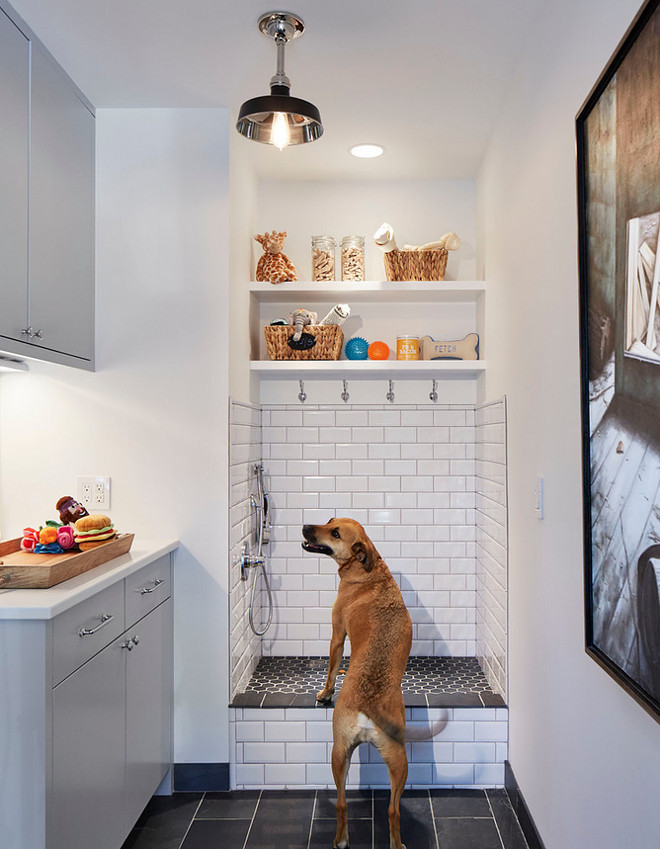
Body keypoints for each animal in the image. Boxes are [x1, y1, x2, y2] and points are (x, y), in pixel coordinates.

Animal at [302, 516, 412, 848]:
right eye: (329, 520)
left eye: (336, 533)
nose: (305, 527)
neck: (368, 573)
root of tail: (368, 705)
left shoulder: (337, 633)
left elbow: (331, 667)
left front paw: (325, 693)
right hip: (386, 760)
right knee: (384, 809)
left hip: (346, 753)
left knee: (350, 804)